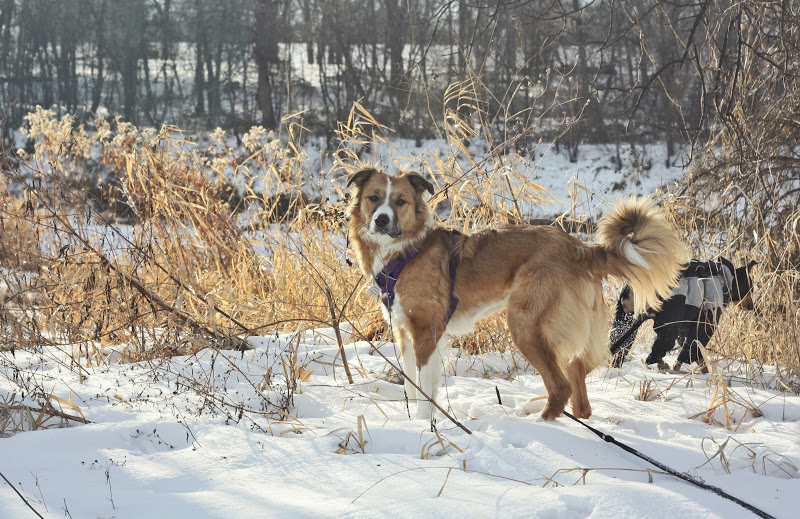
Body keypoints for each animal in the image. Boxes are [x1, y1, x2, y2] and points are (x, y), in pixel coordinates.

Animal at [344, 171, 688, 422]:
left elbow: (424, 389)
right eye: (374, 198)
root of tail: (579, 246)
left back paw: (540, 422)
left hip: (525, 324)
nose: (381, 220)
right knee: (578, 379)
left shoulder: (426, 334)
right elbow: (413, 383)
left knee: (561, 385)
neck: (407, 252)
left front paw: (424, 424)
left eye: (400, 201)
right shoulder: (406, 334)